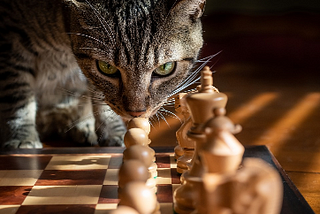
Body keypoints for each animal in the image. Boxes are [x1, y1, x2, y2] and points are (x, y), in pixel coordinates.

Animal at [0, 0, 205, 148]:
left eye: (165, 68)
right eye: (107, 67)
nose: (136, 112)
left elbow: (101, 100)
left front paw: (113, 132)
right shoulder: (11, 38)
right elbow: (18, 98)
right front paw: (22, 137)